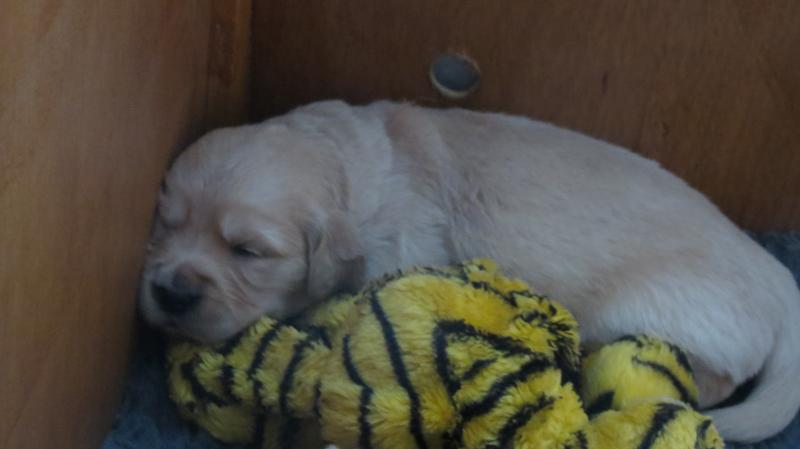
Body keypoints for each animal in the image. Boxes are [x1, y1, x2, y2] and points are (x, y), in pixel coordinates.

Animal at [139, 100, 800, 440]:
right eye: (165, 223)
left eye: (248, 251)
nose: (169, 293)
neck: (350, 171)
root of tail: (779, 275)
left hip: (648, 311)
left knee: (715, 377)